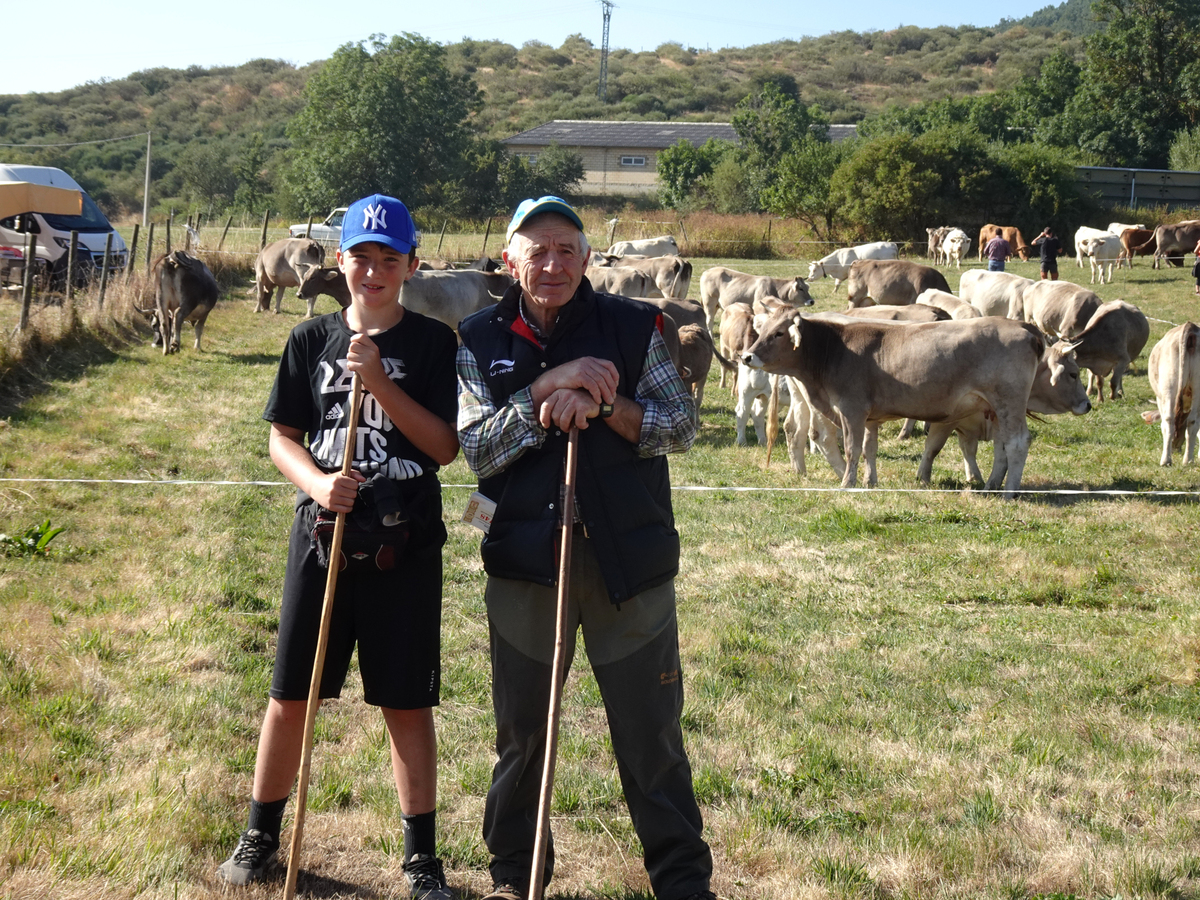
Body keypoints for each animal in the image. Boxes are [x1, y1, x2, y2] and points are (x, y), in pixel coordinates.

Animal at [744, 312, 1046, 501]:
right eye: (762, 331)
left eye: (779, 333)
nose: (746, 356)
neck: (834, 351)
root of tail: (1022, 326)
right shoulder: (869, 418)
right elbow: (869, 449)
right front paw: (870, 482)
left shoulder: (852, 410)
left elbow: (853, 449)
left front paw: (848, 484)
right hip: (995, 409)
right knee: (1002, 446)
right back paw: (992, 486)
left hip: (1009, 401)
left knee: (1017, 443)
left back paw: (1008, 492)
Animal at [912, 340, 1094, 487]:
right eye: (1073, 374)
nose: (1088, 405)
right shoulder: (949, 420)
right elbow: (933, 447)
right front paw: (923, 478)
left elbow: (986, 452)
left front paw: (977, 478)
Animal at [1142, 321, 1200, 465]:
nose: (1176, 449)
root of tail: (1190, 327)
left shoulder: (1159, 398)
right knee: (1192, 422)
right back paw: (1188, 460)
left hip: (1168, 387)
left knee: (1169, 421)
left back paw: (1166, 460)